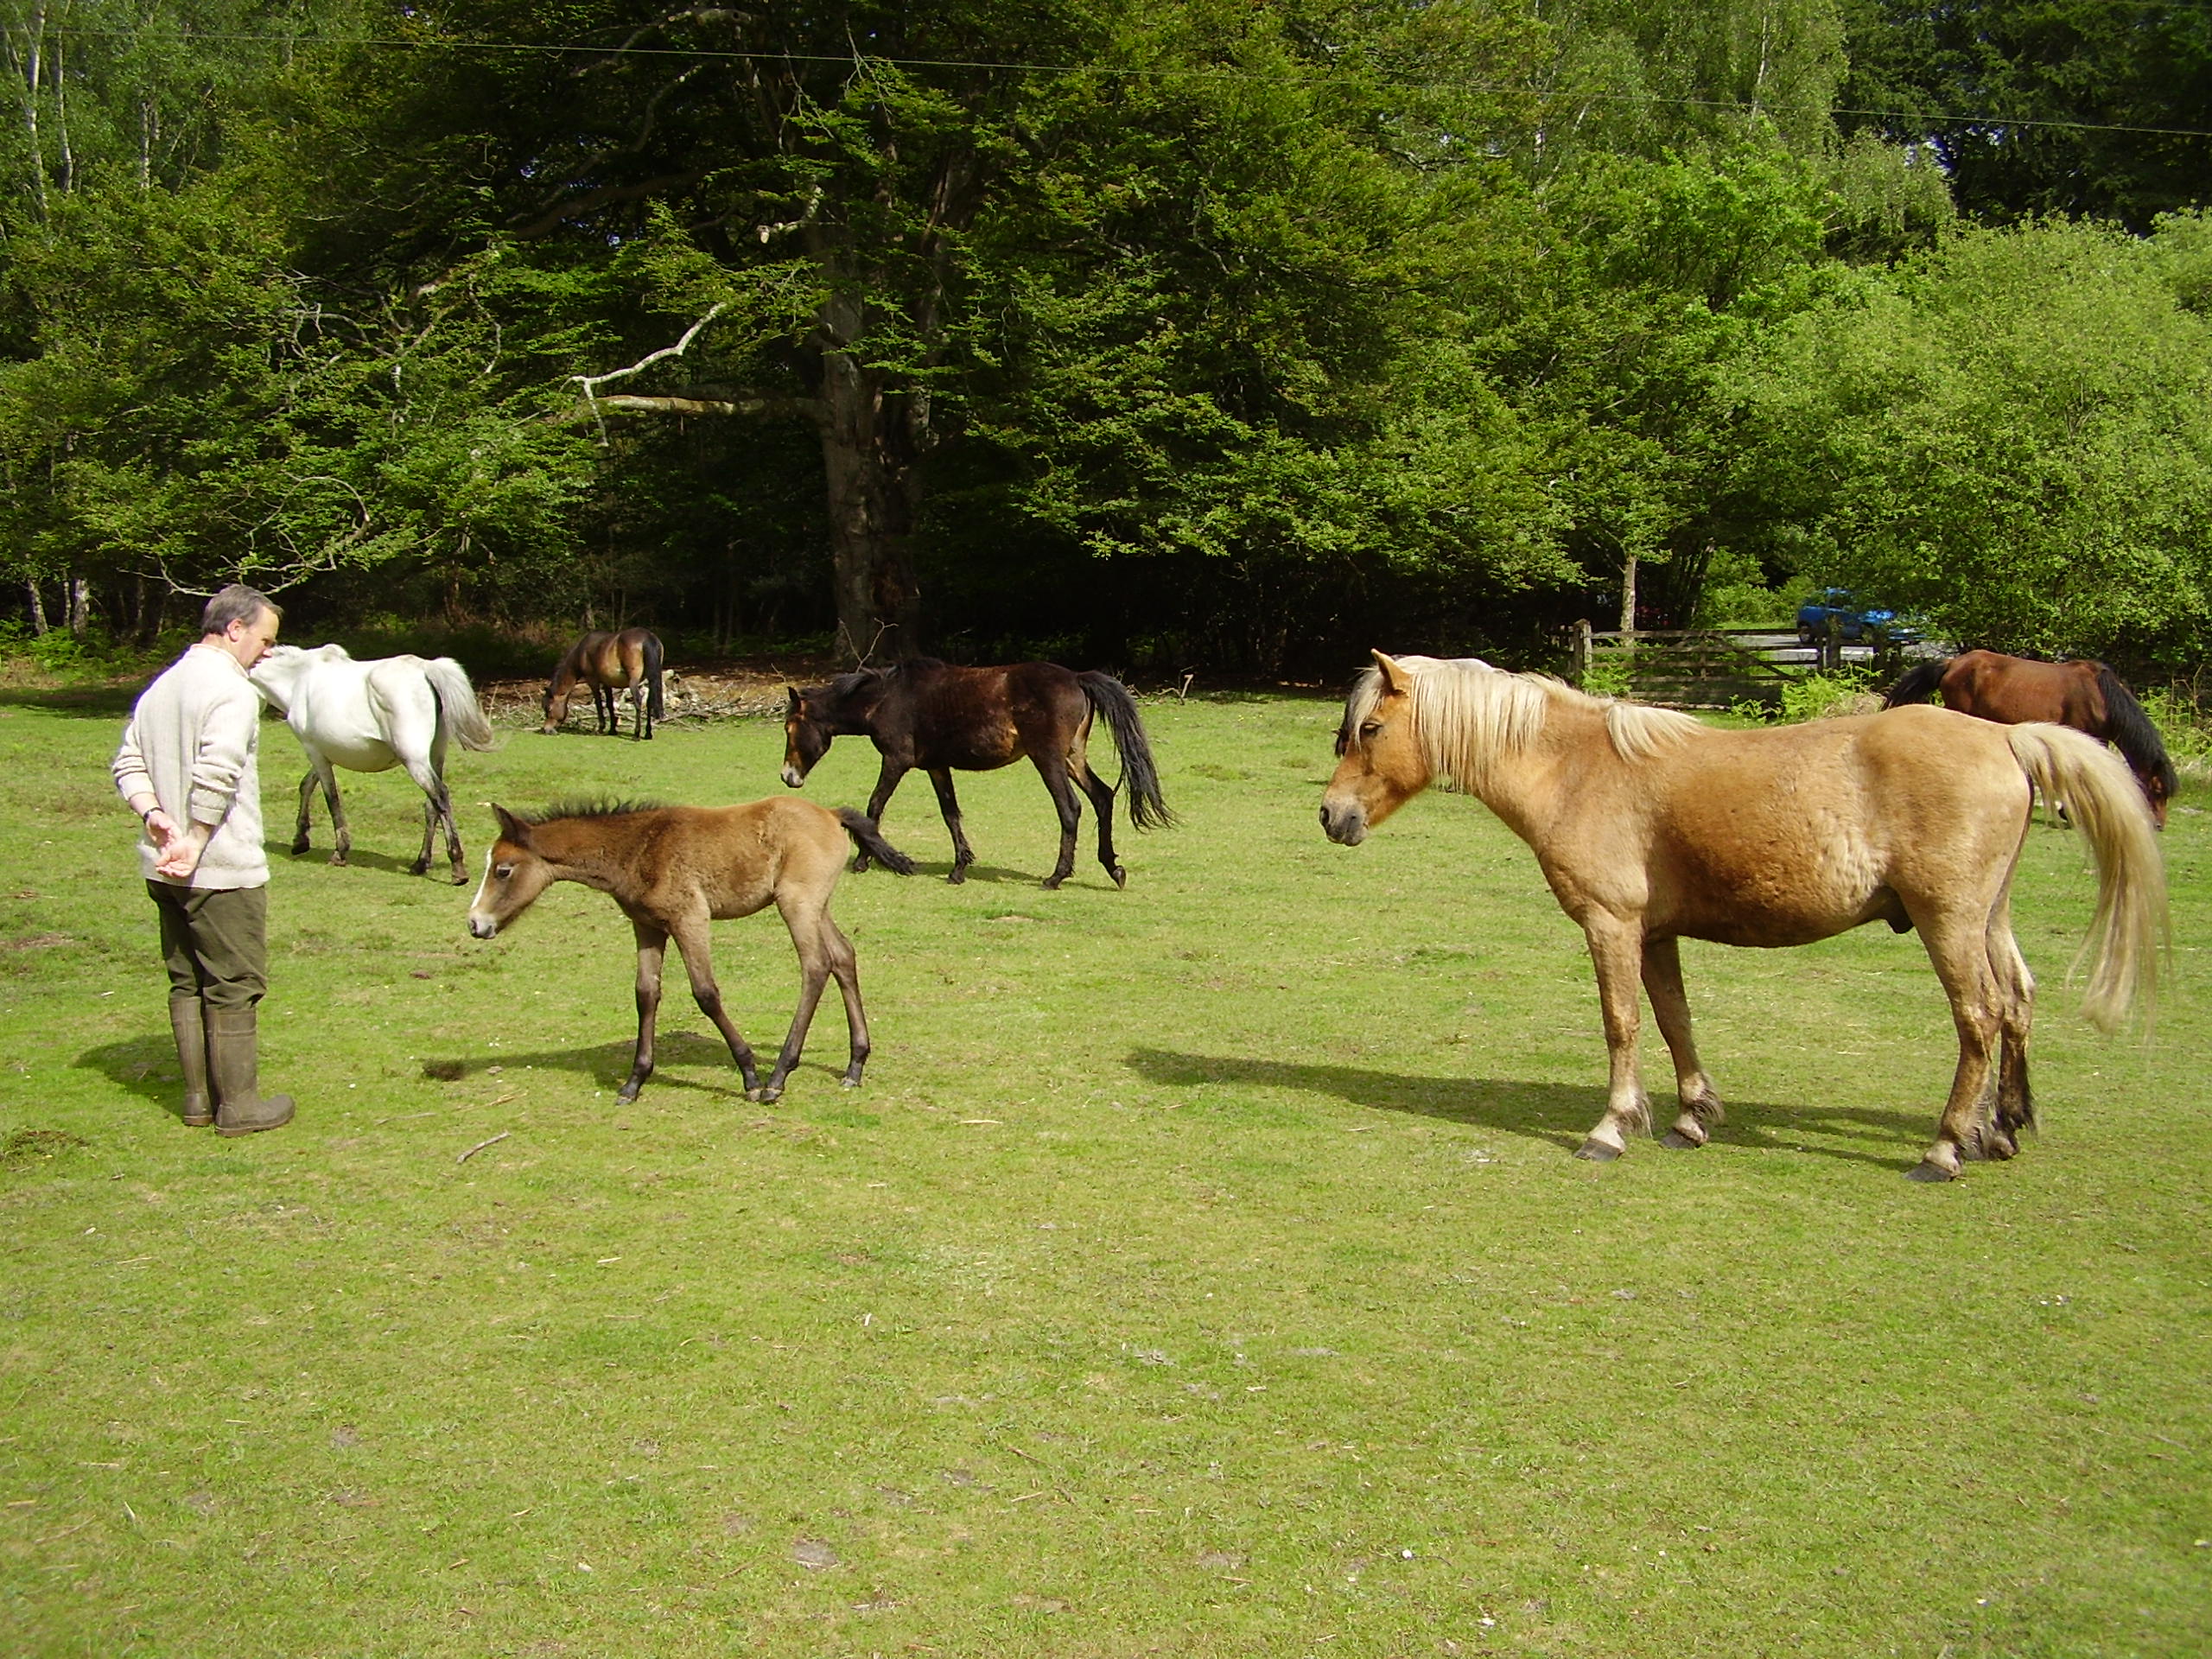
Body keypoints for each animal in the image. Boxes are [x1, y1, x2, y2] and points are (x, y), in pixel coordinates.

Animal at [251, 645, 498, 889]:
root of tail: (425, 669)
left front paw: (340, 852)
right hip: (435, 758)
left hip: (415, 761)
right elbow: (306, 786)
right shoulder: (324, 754)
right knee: (432, 806)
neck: (297, 679)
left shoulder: (315, 752)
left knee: (440, 796)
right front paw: (300, 840)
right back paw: (420, 863)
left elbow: (331, 799)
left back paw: (457, 868)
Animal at [467, 800, 915, 1110]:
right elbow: (646, 994)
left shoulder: (690, 919)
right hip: (816, 906)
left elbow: (705, 993)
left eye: (503, 870)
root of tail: (830, 813)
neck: (639, 847)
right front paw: (634, 1082)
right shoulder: (647, 927)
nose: (475, 923)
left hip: (797, 903)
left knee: (816, 966)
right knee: (843, 956)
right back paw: (855, 1065)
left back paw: (778, 1076)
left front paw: (750, 1077)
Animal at [542, 628, 664, 739]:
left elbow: (598, 703)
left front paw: (601, 728)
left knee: (638, 701)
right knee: (649, 703)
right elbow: (609, 704)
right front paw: (612, 729)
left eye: (549, 709)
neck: (582, 652)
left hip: (633, 682)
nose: (547, 729)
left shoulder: (593, 681)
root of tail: (647, 637)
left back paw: (636, 734)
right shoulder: (607, 683)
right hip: (650, 680)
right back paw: (648, 733)